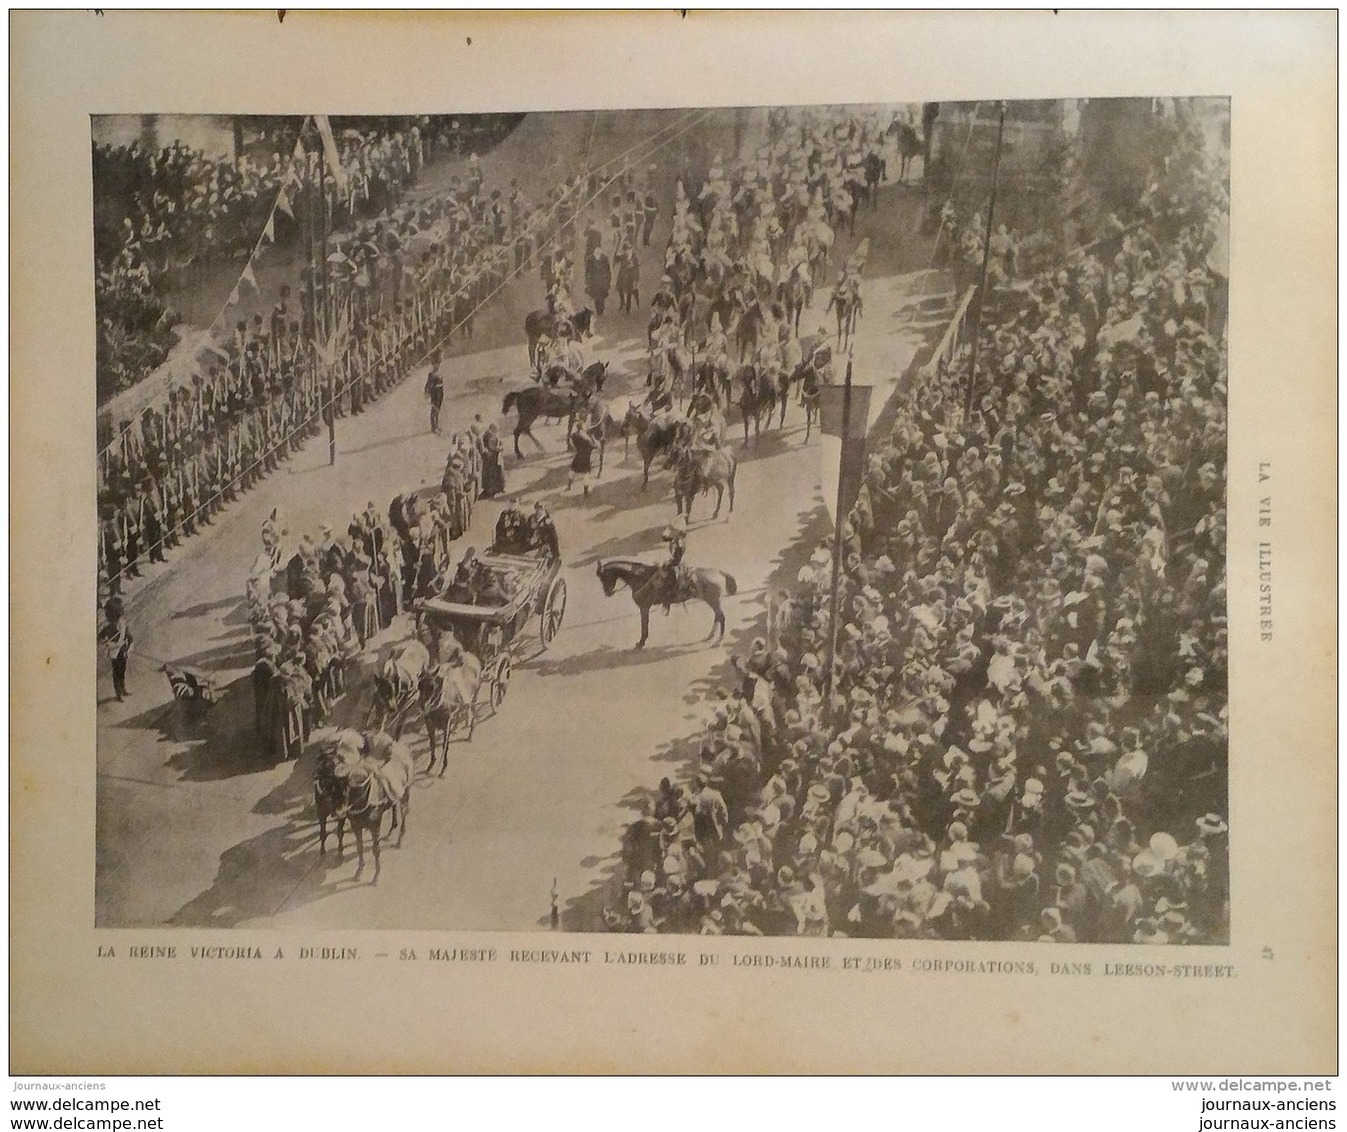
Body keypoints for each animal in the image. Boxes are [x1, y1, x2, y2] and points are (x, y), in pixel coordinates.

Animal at [600, 557, 743, 646]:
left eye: (604, 577)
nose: (607, 593)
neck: (639, 576)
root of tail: (718, 572)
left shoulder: (644, 607)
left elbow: (644, 625)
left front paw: (641, 642)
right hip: (712, 601)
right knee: (717, 617)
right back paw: (710, 636)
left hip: (713, 601)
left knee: (721, 617)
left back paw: (718, 640)